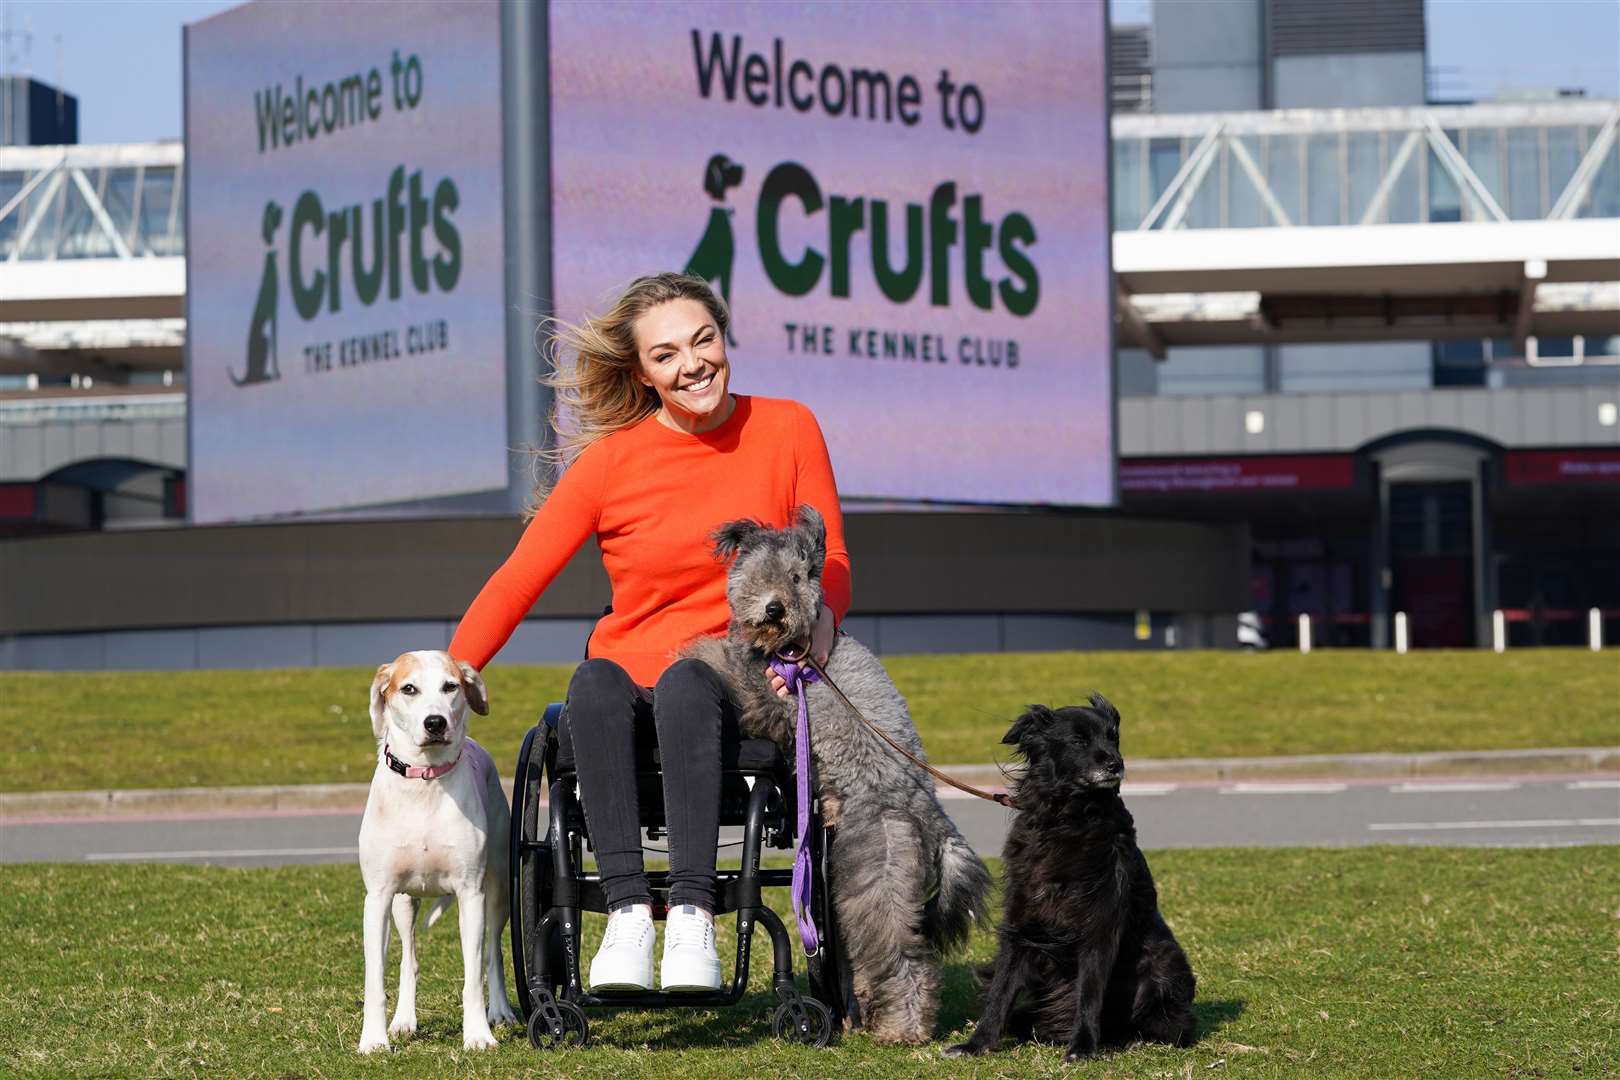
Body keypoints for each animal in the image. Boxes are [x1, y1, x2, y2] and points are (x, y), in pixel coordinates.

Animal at [358, 650, 515, 1055]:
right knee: (408, 959)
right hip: (403, 903)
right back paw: (403, 1021)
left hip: (499, 889)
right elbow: (376, 978)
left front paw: (477, 1035)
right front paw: (374, 1040)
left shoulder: (471, 893)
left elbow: (473, 975)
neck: (424, 781)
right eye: (409, 688)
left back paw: (501, 1011)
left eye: (450, 686)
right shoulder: (378, 896)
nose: (435, 722)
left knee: (494, 953)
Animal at [680, 508, 991, 1049]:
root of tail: (934, 816)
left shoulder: (763, 699)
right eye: (761, 570)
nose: (775, 608)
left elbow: (719, 662)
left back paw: (901, 1030)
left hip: (875, 871)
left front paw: (688, 656)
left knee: (904, 959)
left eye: (799, 575)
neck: (794, 651)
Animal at [946, 696, 1198, 1062]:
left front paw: (1082, 1047)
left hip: (1164, 964)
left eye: (1113, 737)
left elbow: (1089, 993)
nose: (1116, 764)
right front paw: (976, 1044)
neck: (1067, 817)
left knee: (1173, 1026)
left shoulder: (1100, 925)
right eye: (1078, 741)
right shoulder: (1022, 925)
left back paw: (1129, 1038)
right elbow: (1000, 991)